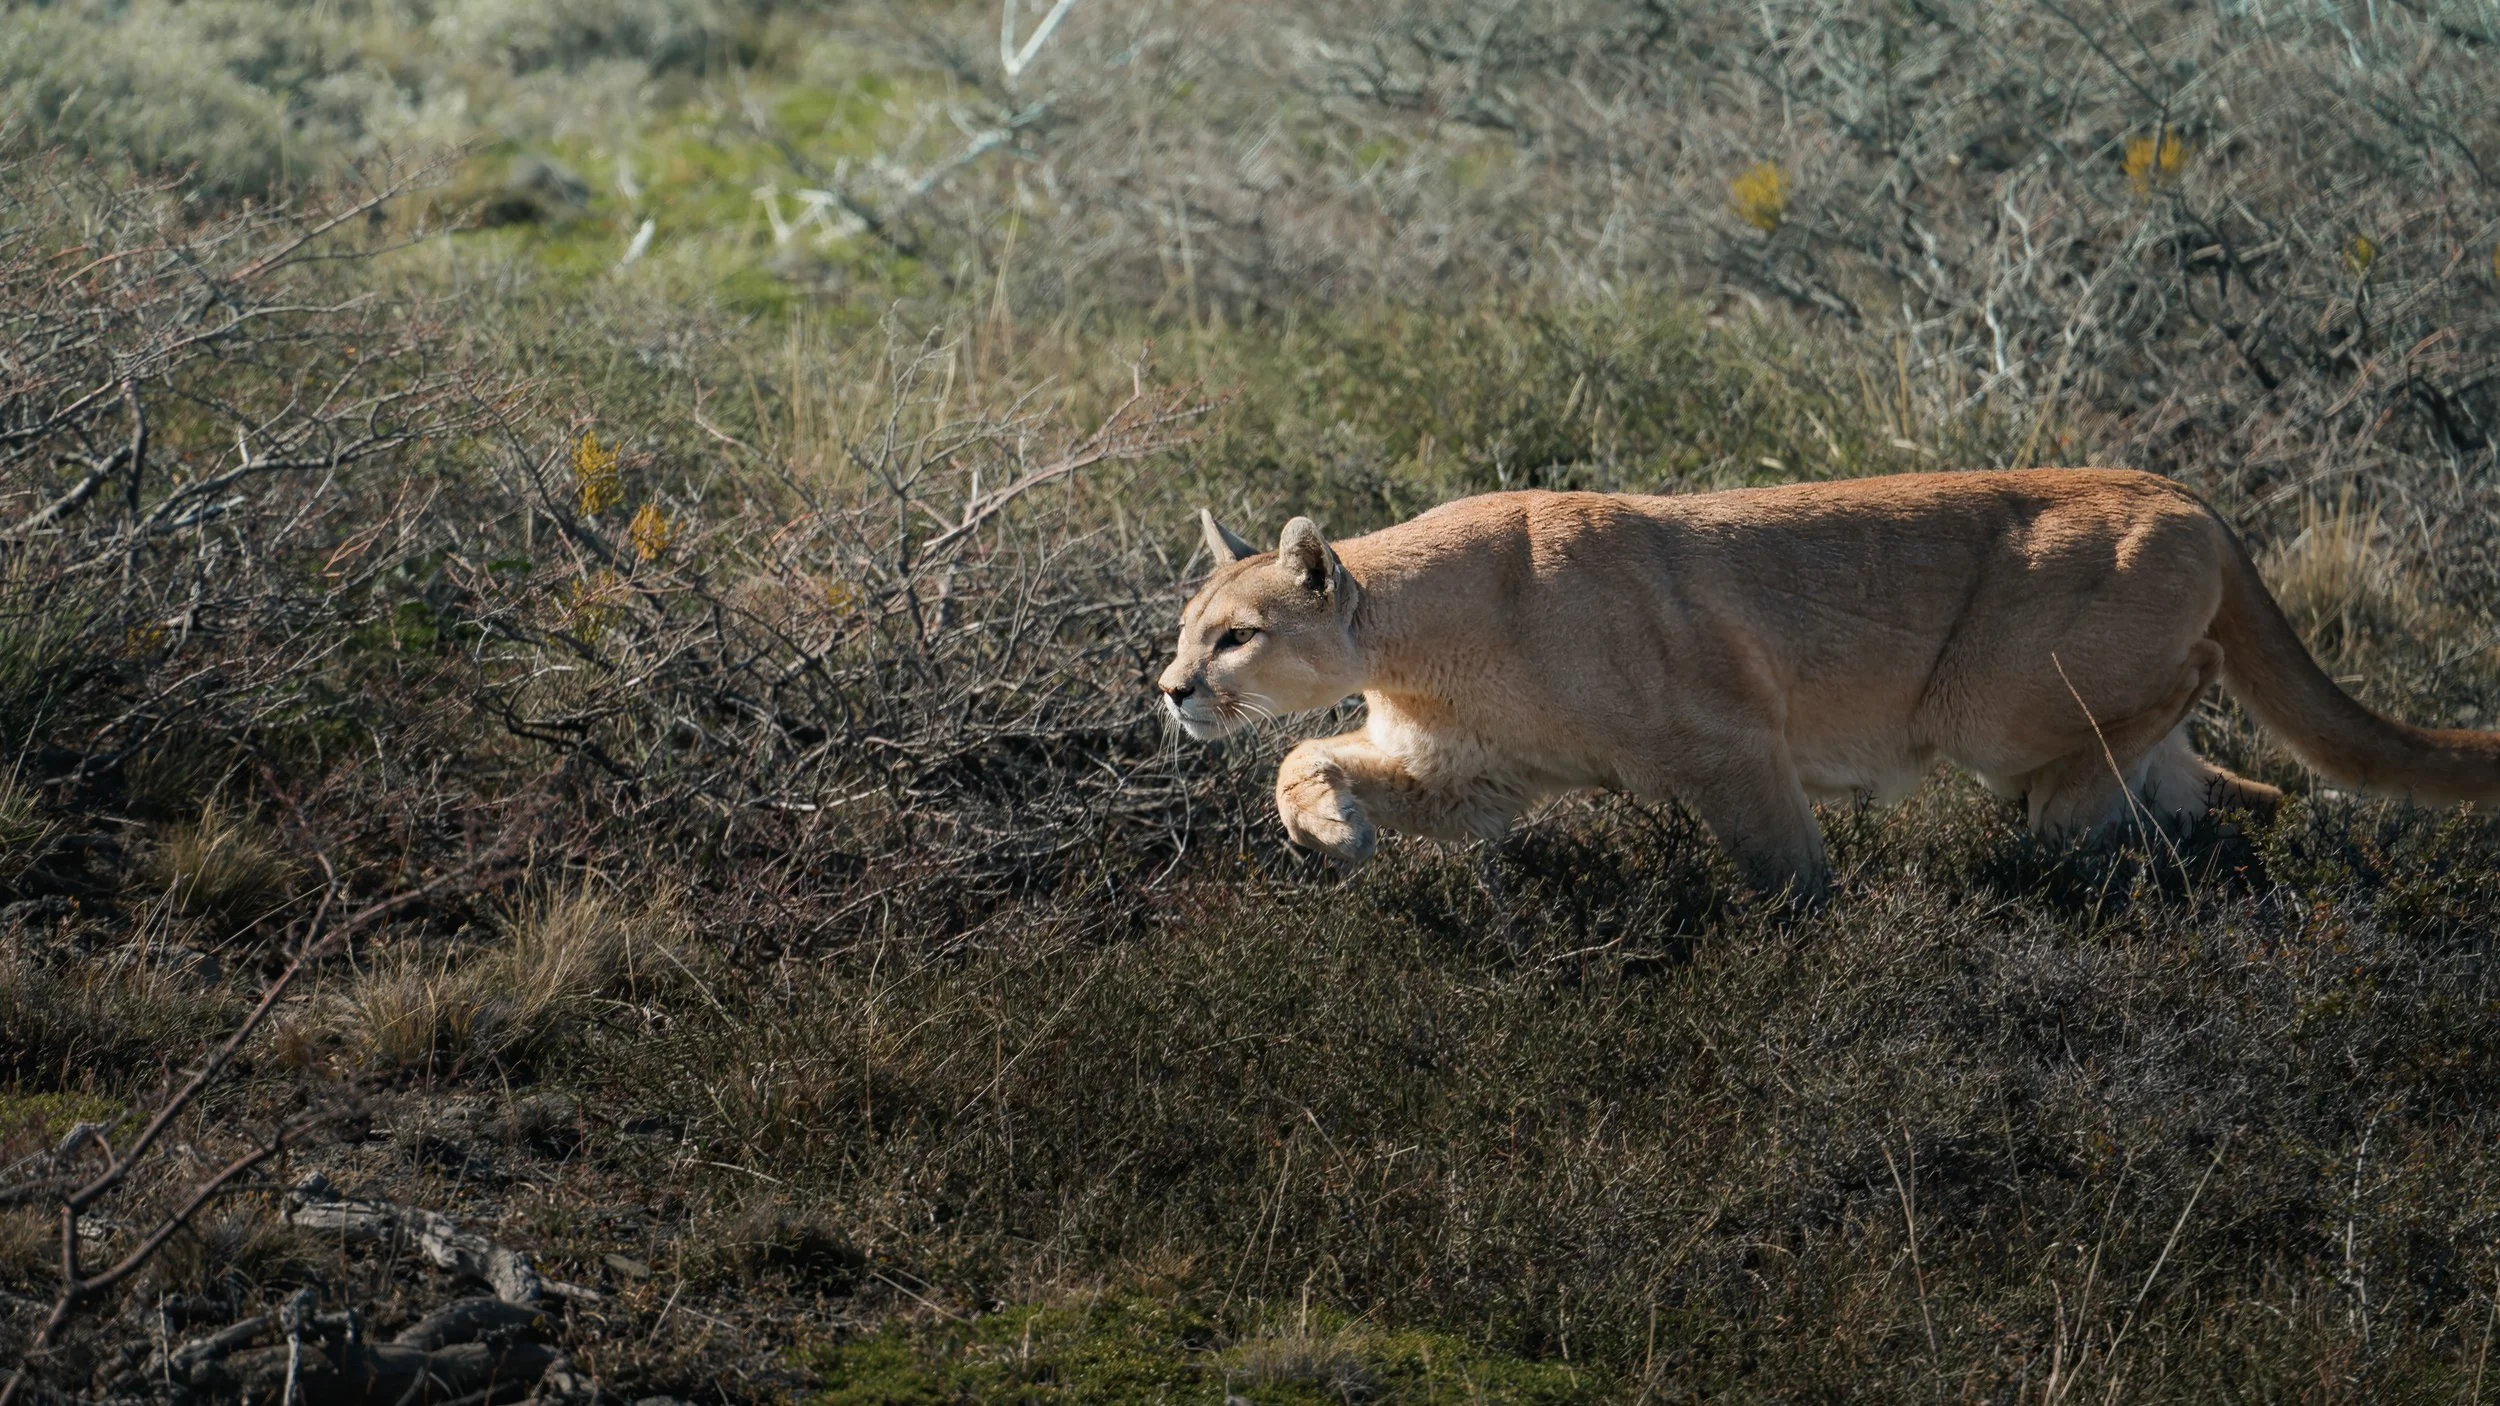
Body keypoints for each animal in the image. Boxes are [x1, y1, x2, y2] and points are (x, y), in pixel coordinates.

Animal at [1155, 469, 2500, 901]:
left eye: (1234, 636)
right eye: (1186, 632)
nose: (1168, 688)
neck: (1420, 634)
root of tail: (2182, 492)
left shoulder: (1729, 737)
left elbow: (1784, 862)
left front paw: (1807, 933)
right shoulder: (1476, 773)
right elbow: (1301, 753)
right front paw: (1331, 831)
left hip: (1995, 702)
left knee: (2189, 687)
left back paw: (2064, 835)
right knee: (2249, 790)